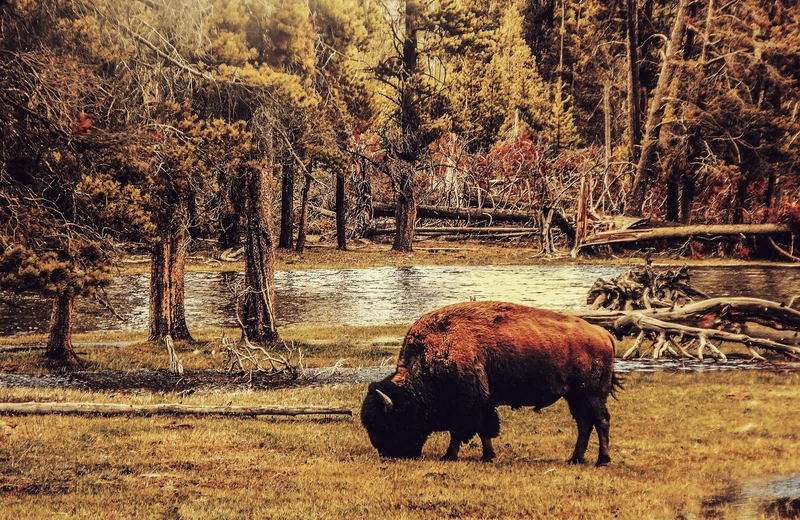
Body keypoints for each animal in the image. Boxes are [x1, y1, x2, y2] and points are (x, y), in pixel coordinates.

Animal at [360, 302, 620, 466]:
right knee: (585, 424)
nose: (387, 453)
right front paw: (488, 456)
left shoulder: (468, 406)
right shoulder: (484, 404)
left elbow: (460, 432)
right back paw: (576, 458)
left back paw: (602, 460)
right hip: (575, 396)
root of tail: (603, 334)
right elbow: (485, 430)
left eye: (386, 424)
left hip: (592, 395)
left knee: (601, 422)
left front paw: (449, 456)